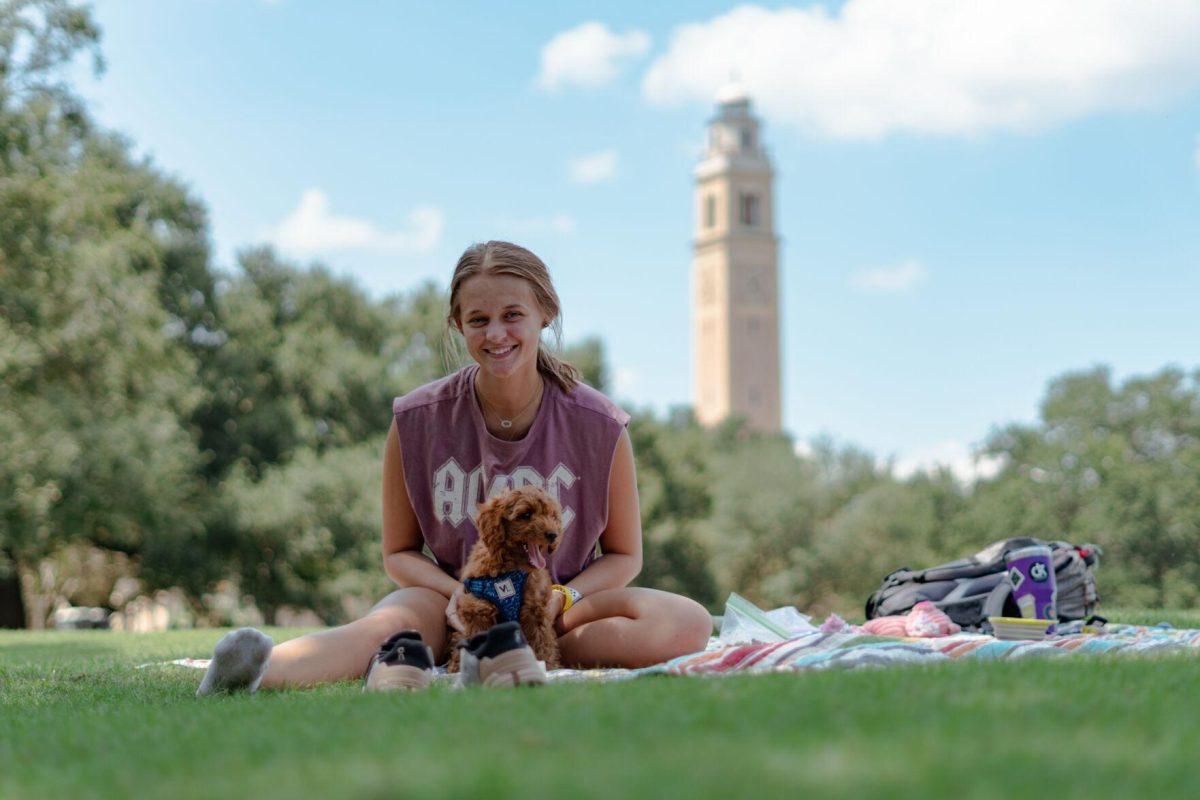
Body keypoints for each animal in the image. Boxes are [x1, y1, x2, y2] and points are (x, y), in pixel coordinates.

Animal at [451, 484, 561, 671]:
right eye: (526, 515)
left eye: (551, 515)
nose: (553, 534)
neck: (510, 568)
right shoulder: (478, 608)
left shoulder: (535, 607)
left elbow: (542, 640)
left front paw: (546, 665)